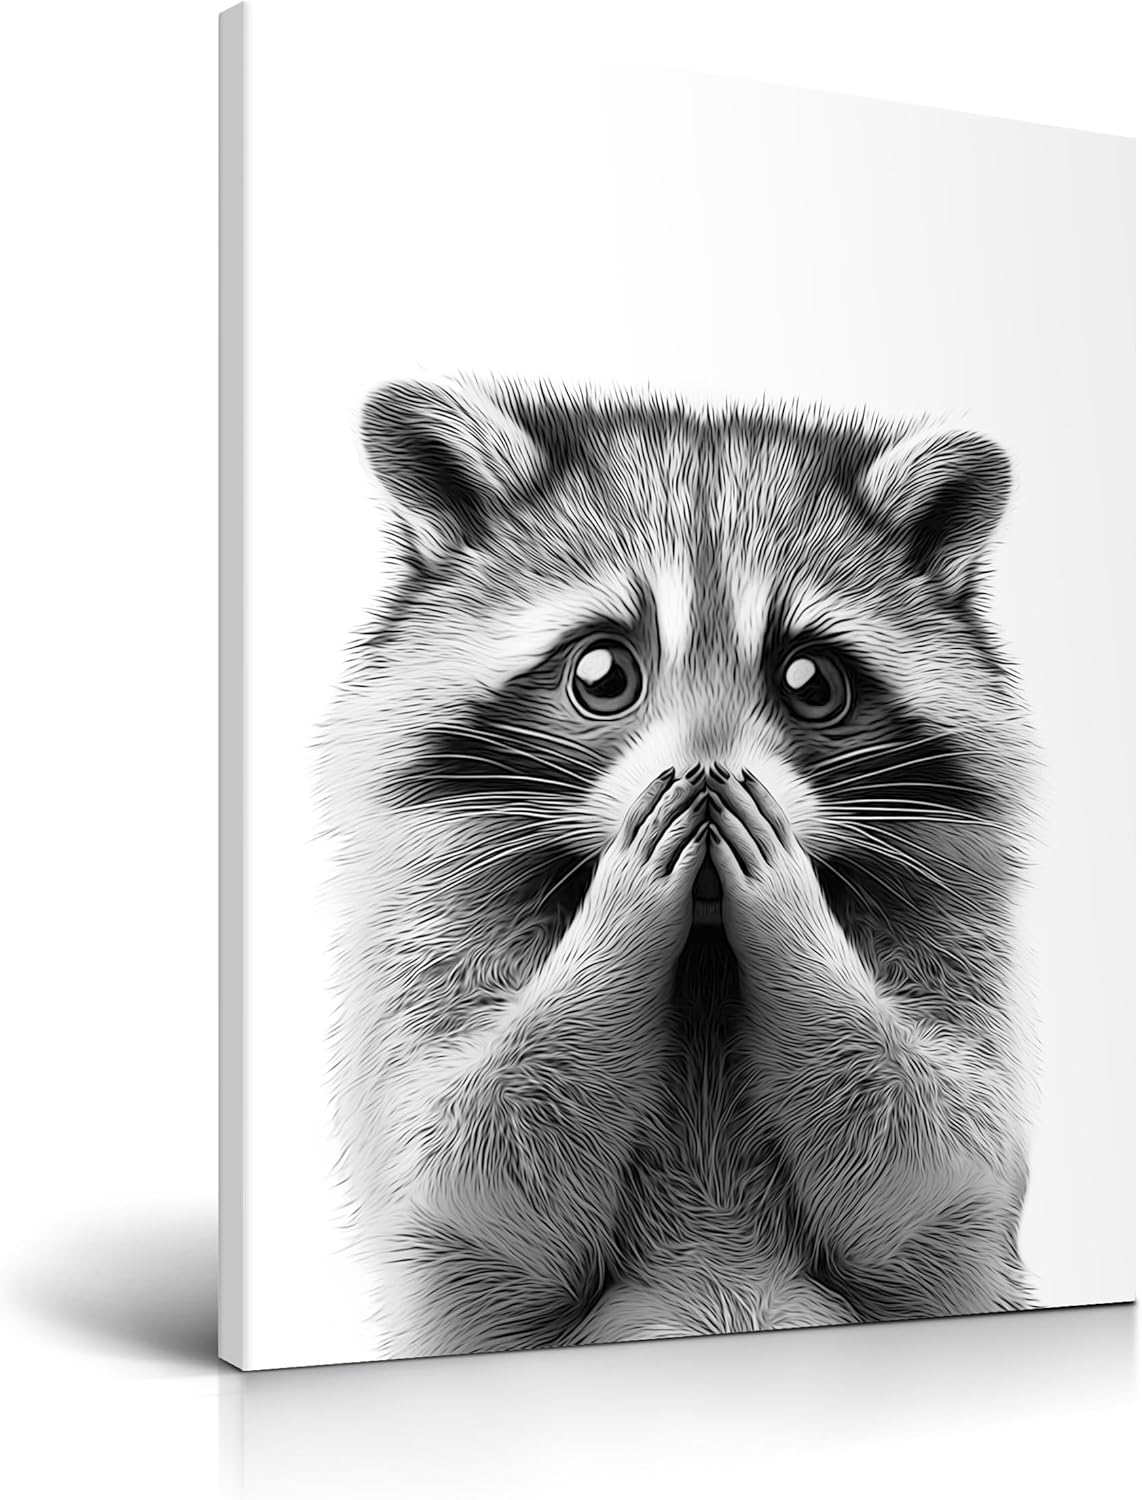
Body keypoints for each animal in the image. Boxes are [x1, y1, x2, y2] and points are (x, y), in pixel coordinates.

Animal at [317, 377, 1037, 1359]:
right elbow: (461, 1183)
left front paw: (791, 921)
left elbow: (940, 1178)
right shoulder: (420, 939)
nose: (704, 776)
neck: (702, 952)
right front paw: (618, 919)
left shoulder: (958, 950)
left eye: (814, 683)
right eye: (601, 673)